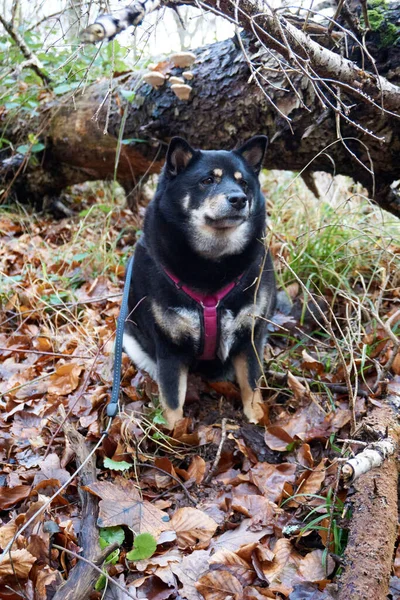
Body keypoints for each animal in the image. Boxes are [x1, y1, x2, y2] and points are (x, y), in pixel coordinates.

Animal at [123, 137, 276, 428]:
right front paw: (174, 434)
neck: (212, 267)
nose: (239, 199)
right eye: (207, 180)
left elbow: (251, 386)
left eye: (243, 183)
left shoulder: (249, 338)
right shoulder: (169, 349)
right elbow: (172, 400)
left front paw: (258, 420)